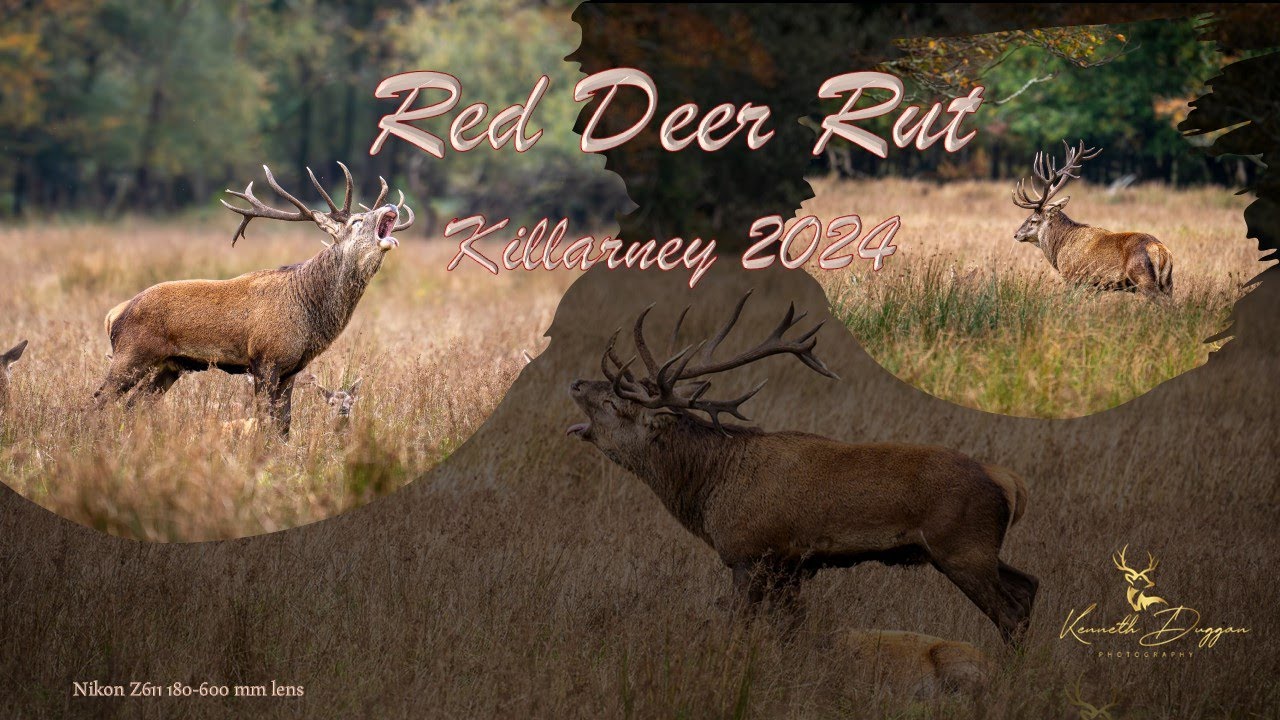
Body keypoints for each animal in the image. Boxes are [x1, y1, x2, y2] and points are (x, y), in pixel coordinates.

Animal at [94, 163, 412, 436]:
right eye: (358, 221)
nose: (390, 206)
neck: (310, 312)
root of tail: (113, 314)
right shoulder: (265, 359)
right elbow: (264, 420)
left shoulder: (291, 369)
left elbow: (284, 424)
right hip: (132, 353)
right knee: (98, 399)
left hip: (169, 365)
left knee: (134, 405)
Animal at [567, 292, 1038, 645]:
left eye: (615, 401)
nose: (575, 382)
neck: (710, 487)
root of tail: (1008, 482)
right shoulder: (790, 567)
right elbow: (791, 633)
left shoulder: (750, 553)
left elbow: (739, 626)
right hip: (972, 549)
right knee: (1029, 585)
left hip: (962, 546)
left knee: (1010, 612)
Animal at [1012, 140, 1173, 297]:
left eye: (1033, 220)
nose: (1016, 234)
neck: (1059, 248)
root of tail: (1161, 250)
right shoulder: (1096, 287)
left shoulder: (1073, 277)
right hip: (1167, 283)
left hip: (1144, 279)